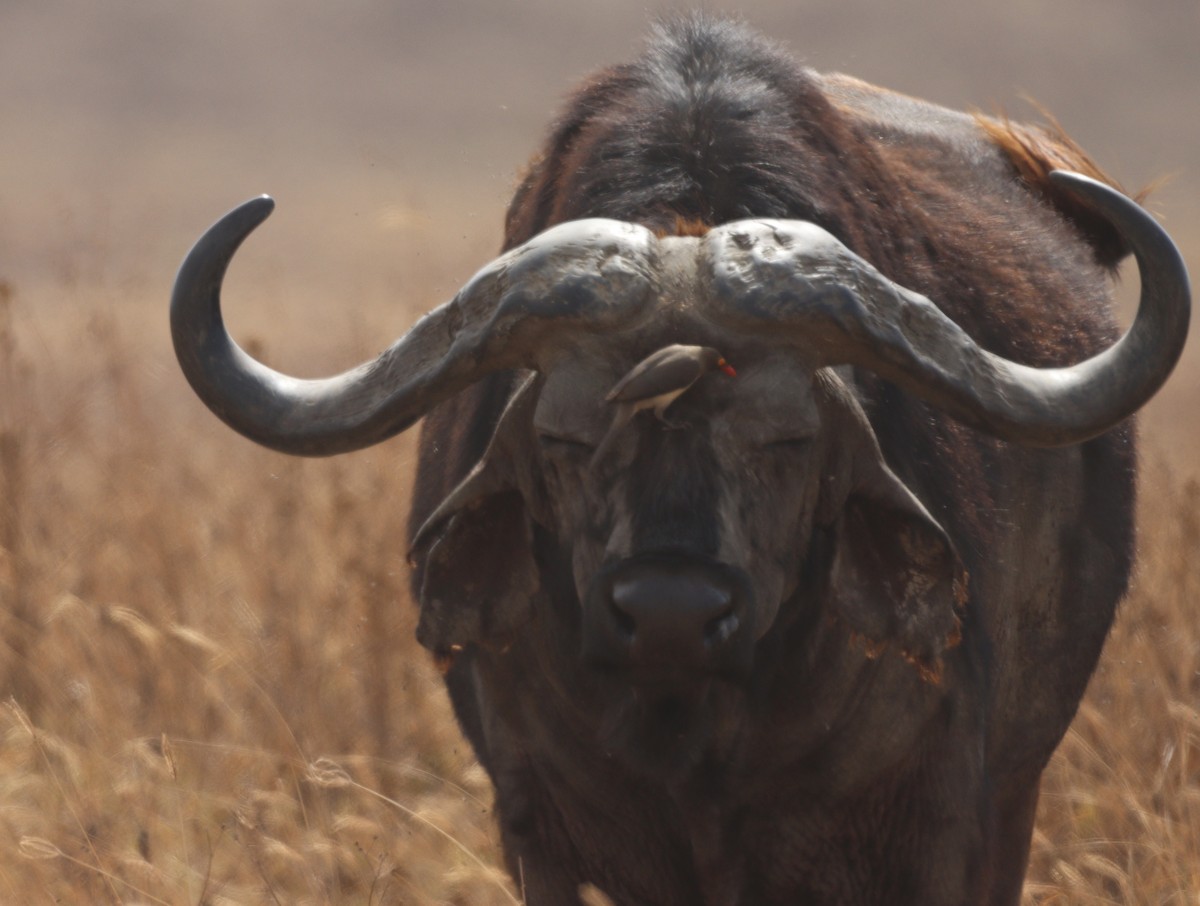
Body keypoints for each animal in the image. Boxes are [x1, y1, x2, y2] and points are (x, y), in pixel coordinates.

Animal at [171, 14, 1190, 906]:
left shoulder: (943, 818)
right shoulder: (535, 820)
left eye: (790, 439)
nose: (670, 614)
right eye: (562, 438)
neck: (697, 737)